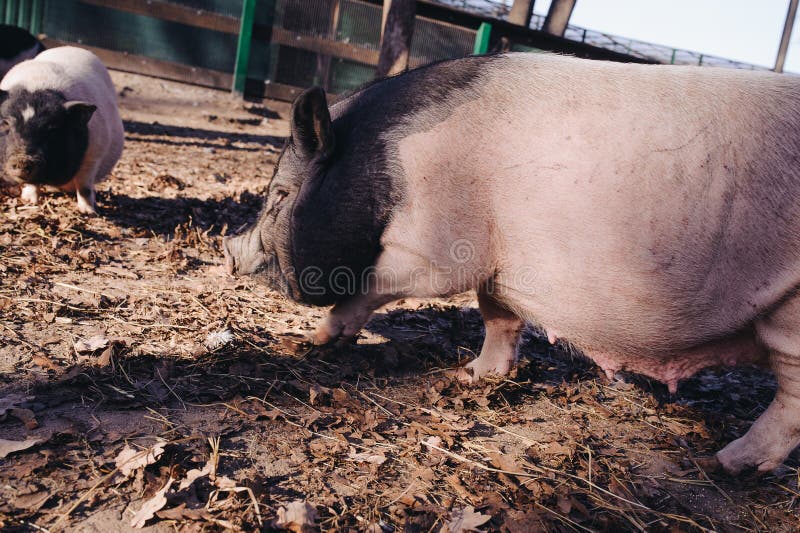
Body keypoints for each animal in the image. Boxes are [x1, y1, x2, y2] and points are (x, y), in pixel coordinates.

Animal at [0, 45, 123, 212]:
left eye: (52, 129)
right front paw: (30, 201)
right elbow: (32, 183)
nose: (22, 159)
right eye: (5, 123)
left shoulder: (95, 154)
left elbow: (84, 187)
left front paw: (89, 212)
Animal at [222, 52, 800, 472]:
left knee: (790, 402)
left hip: (791, 313)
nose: (228, 253)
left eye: (278, 196)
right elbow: (498, 316)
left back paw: (729, 464)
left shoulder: (435, 250)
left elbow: (376, 286)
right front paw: (472, 377)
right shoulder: (496, 265)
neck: (378, 170)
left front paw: (314, 339)